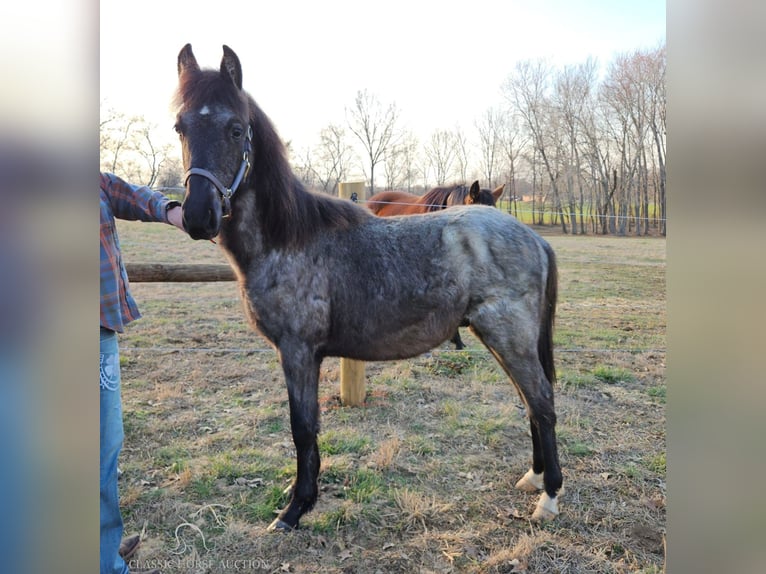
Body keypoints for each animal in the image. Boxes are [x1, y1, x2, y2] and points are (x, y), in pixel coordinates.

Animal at [177, 44, 568, 532]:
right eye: (180, 127)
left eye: (234, 129)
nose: (197, 216)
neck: (288, 238)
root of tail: (533, 238)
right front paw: (300, 499)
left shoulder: (298, 350)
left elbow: (302, 428)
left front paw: (295, 509)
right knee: (530, 402)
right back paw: (534, 478)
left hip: (509, 336)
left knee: (542, 402)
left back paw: (549, 495)